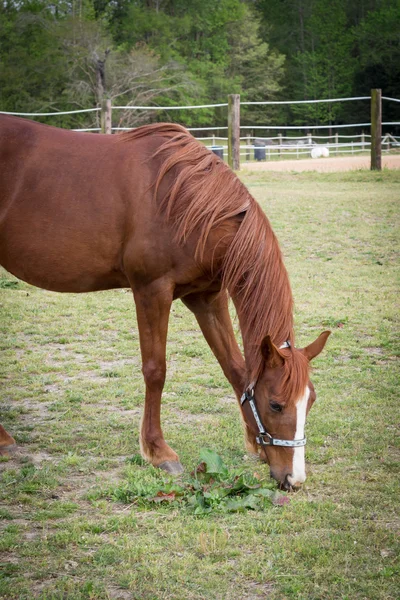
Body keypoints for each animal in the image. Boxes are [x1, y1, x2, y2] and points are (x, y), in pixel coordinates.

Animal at [0, 115, 332, 490]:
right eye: (276, 405)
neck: (185, 200)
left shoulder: (206, 297)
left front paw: (254, 443)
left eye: (311, 400)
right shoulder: (152, 291)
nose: (294, 478)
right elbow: (155, 370)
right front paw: (158, 451)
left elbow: (234, 368)